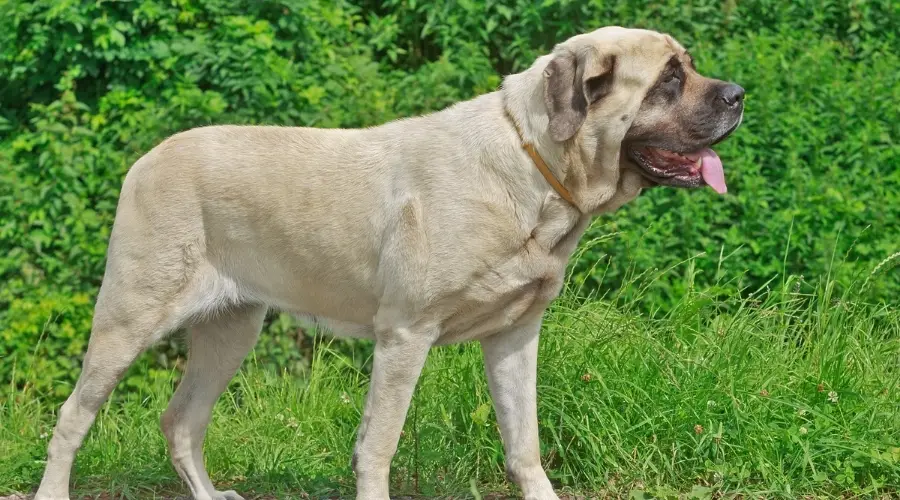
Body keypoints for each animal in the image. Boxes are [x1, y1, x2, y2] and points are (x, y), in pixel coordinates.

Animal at [35, 27, 740, 500]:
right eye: (670, 79)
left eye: (687, 68)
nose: (737, 94)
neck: (533, 163)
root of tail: (146, 159)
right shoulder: (405, 334)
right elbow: (379, 444)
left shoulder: (515, 336)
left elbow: (525, 443)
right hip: (129, 316)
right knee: (74, 416)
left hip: (233, 328)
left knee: (182, 421)